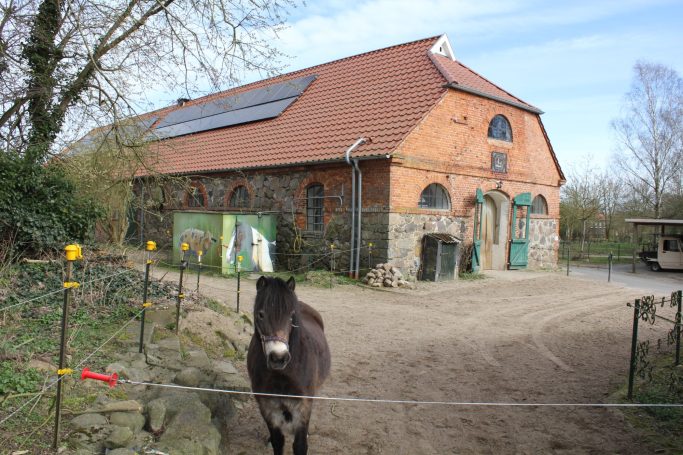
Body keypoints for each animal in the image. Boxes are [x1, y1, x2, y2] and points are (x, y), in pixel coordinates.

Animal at [247, 276, 332, 454]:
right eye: (261, 314)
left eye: (291, 315)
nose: (278, 358)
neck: (282, 375)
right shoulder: (268, 409)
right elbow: (277, 441)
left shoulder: (302, 408)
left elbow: (300, 445)